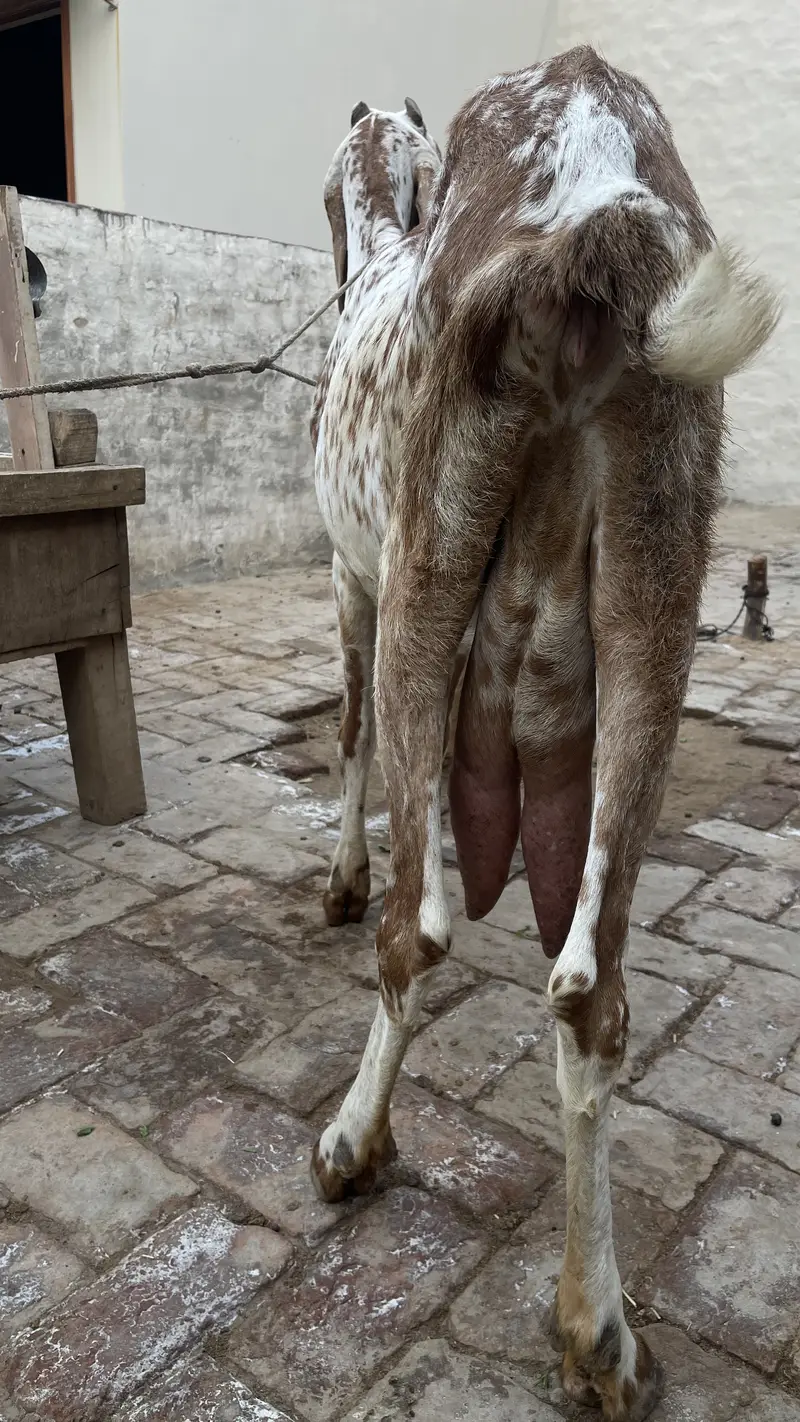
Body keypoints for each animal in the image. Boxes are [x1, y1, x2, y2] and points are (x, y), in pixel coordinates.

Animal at [310, 49, 779, 1421]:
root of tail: (592, 213)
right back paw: (596, 1333)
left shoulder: (350, 574)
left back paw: (352, 1143)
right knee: (588, 990)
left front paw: (335, 881)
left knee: (418, 927)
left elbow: (348, 733)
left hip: (428, 548)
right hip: (660, 562)